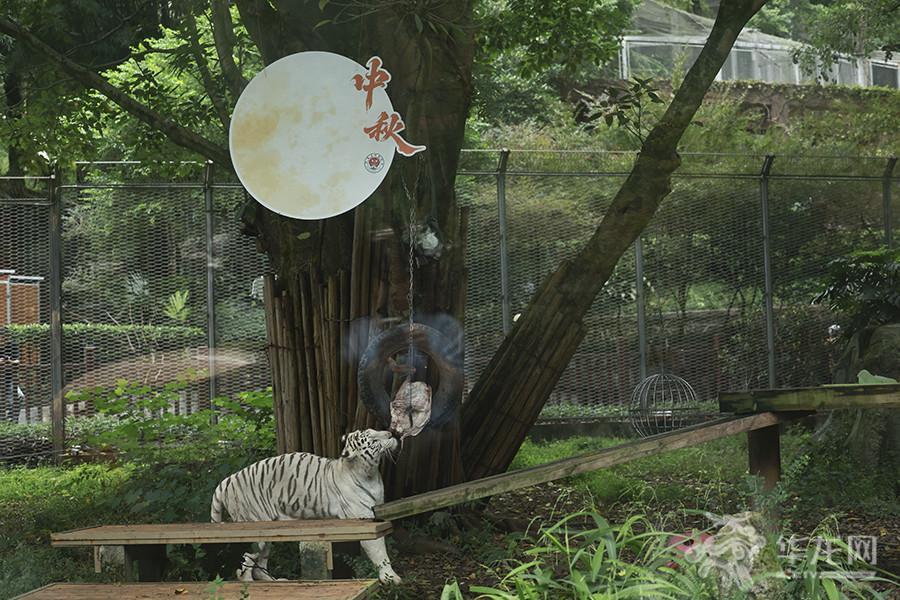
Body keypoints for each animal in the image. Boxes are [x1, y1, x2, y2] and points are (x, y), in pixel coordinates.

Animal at [210, 429, 401, 584]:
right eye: (373, 440)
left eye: (374, 430)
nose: (391, 433)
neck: (370, 473)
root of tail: (227, 480)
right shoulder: (365, 518)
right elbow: (378, 549)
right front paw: (391, 578)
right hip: (255, 529)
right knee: (246, 562)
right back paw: (248, 585)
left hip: (268, 534)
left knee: (259, 564)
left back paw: (276, 581)